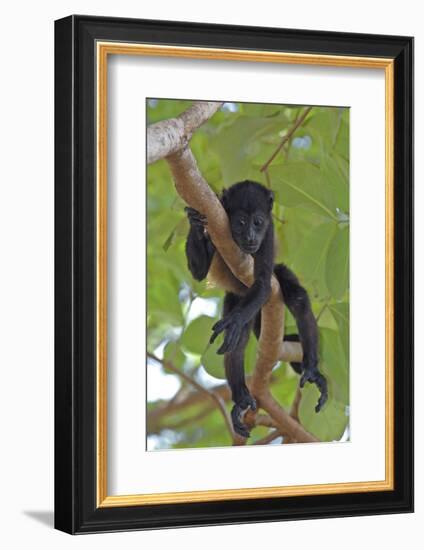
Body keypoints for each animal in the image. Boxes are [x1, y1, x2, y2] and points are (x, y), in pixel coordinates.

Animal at [185, 181, 328, 440]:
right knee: (238, 342)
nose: (251, 236)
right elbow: (199, 272)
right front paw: (193, 221)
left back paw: (312, 369)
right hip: (236, 299)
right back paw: (241, 398)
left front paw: (233, 322)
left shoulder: (269, 234)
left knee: (298, 300)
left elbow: (262, 283)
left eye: (258, 222)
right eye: (241, 222)